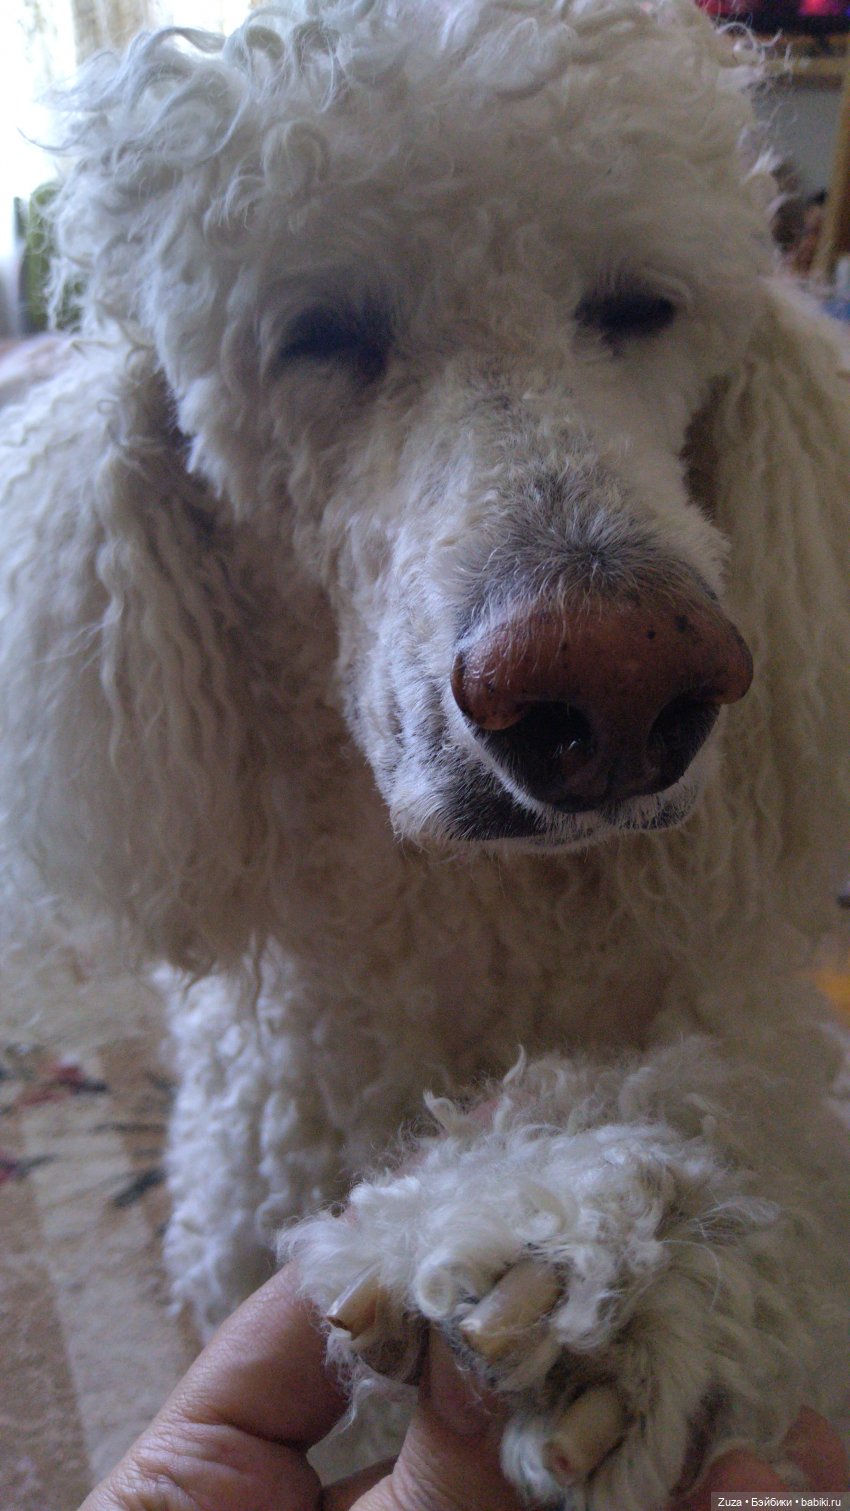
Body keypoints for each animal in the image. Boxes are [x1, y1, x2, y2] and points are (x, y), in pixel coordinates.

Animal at [1, 1, 850, 1505]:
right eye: (319, 333)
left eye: (638, 307)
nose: (616, 683)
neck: (481, 931)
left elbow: (741, 1139)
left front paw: (609, 1245)